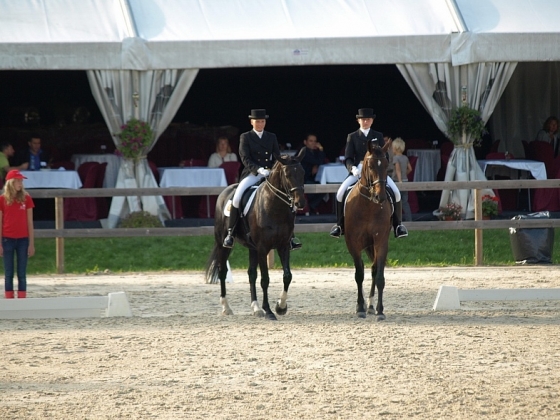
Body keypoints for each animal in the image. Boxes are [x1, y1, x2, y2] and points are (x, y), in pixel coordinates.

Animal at [206, 149, 306, 320]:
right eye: (287, 174)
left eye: (302, 172)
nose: (300, 203)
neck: (274, 207)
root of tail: (225, 192)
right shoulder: (262, 248)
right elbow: (265, 279)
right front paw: (269, 311)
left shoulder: (283, 246)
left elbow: (287, 276)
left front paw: (280, 307)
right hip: (223, 244)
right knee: (222, 271)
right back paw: (226, 307)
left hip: (252, 248)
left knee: (251, 274)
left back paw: (256, 308)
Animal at [344, 139, 392, 320]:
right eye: (370, 166)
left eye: (386, 164)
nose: (381, 196)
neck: (368, 206)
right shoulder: (353, 243)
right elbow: (359, 274)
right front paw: (359, 307)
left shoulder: (381, 241)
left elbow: (379, 276)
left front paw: (380, 310)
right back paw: (365, 305)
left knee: (373, 269)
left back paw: (371, 306)